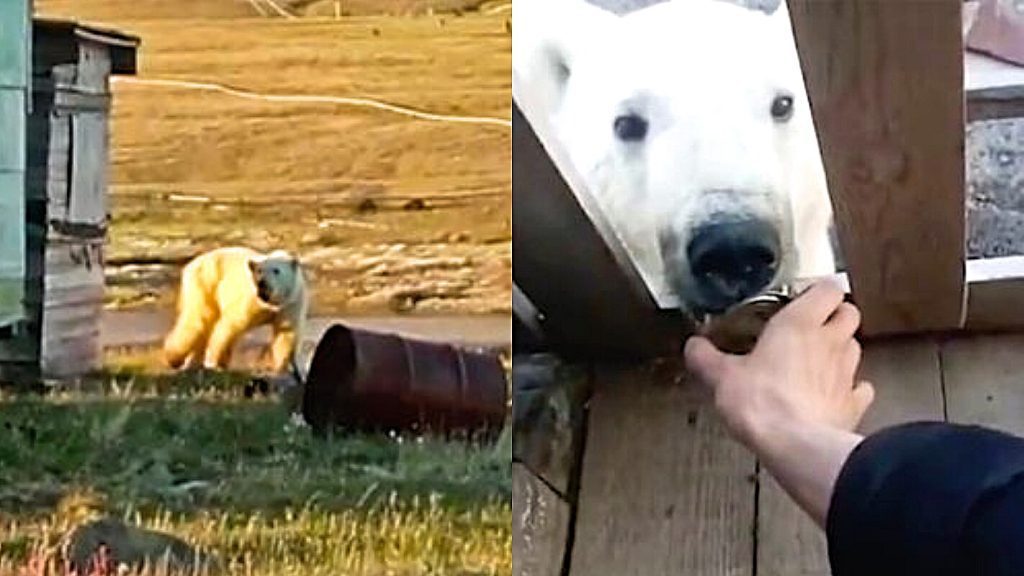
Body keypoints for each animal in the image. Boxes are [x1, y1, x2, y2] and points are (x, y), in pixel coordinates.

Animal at [161, 245, 307, 373]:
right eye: (259, 270)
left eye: (276, 270)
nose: (262, 283)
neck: (270, 303)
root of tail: (191, 264)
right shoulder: (250, 300)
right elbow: (232, 324)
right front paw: (216, 361)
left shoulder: (291, 303)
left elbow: (286, 333)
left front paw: (280, 367)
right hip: (206, 283)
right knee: (197, 320)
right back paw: (174, 358)